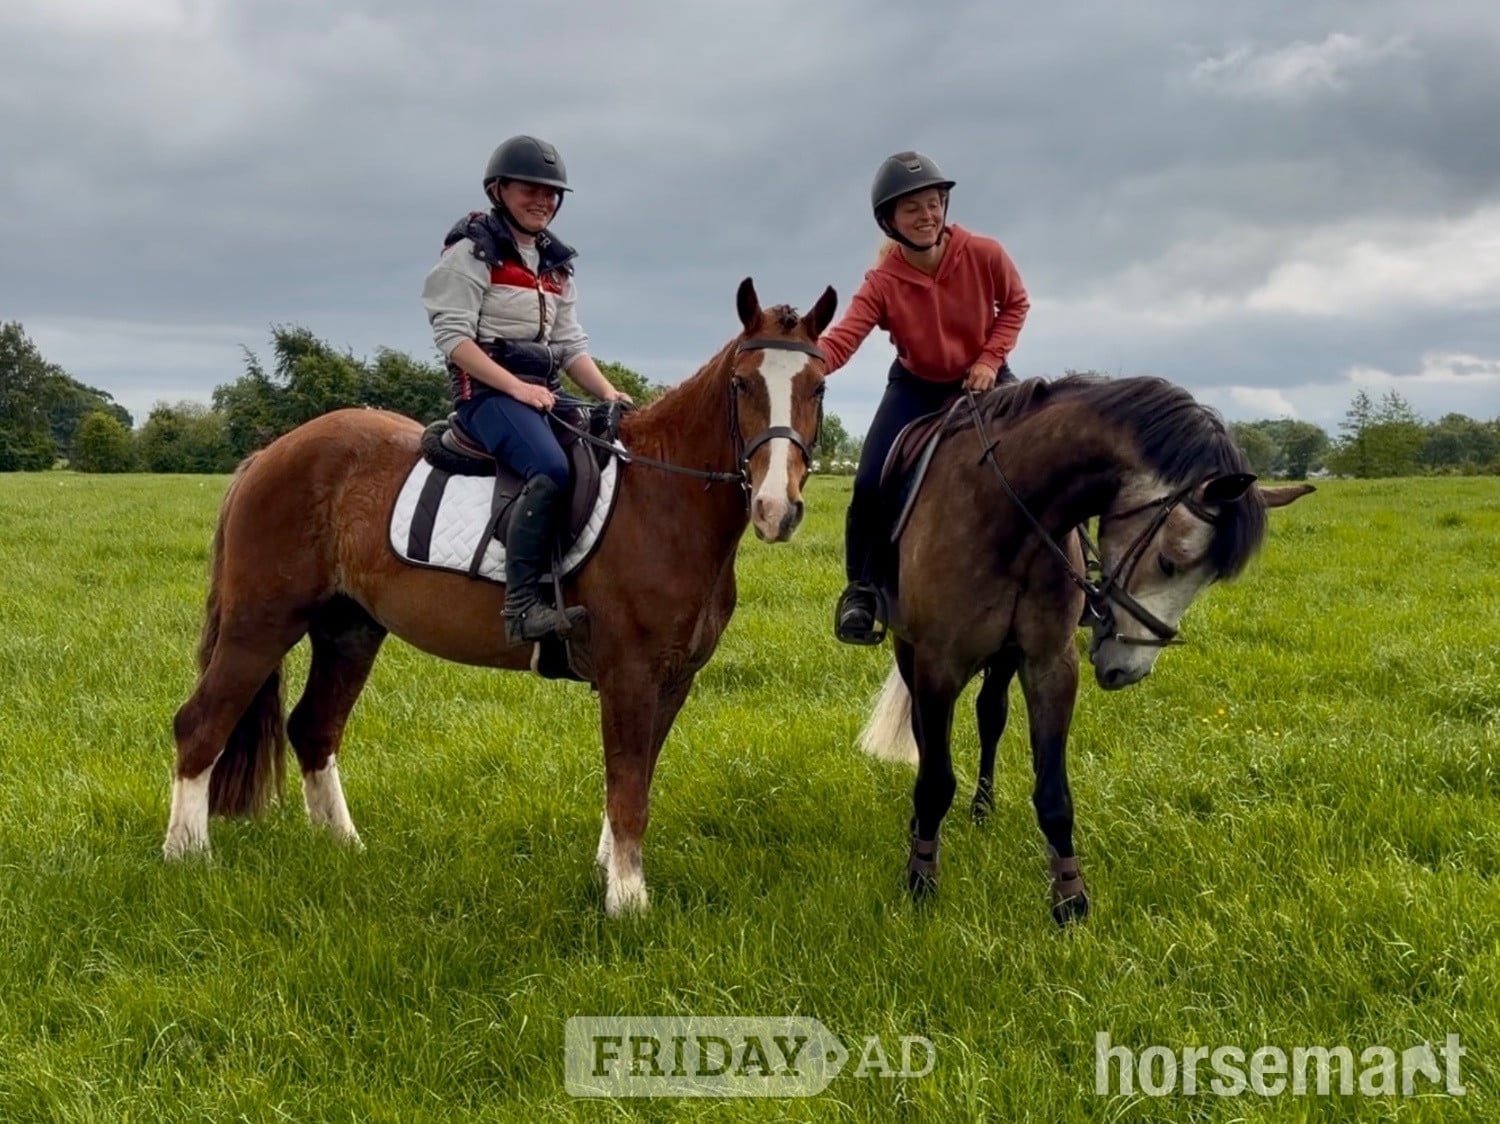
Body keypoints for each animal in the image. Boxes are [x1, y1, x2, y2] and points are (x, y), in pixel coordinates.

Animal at [162, 277, 837, 916]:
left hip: (348, 630)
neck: (664, 498)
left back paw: (344, 848)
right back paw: (187, 857)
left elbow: (634, 778)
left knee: (313, 728)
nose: (776, 509)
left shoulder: (674, 679)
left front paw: (608, 874)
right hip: (261, 623)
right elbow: (627, 790)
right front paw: (627, 901)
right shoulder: (631, 673)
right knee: (201, 723)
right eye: (743, 384)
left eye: (819, 387)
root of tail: (270, 453)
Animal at [855, 373, 1314, 923]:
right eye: (1168, 561)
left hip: (1003, 660)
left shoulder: (1050, 664)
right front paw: (921, 881)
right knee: (931, 737)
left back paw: (983, 810)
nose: (1128, 669)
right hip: (911, 651)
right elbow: (935, 780)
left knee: (991, 714)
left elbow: (1054, 792)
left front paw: (1069, 900)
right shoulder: (937, 664)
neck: (1005, 513)